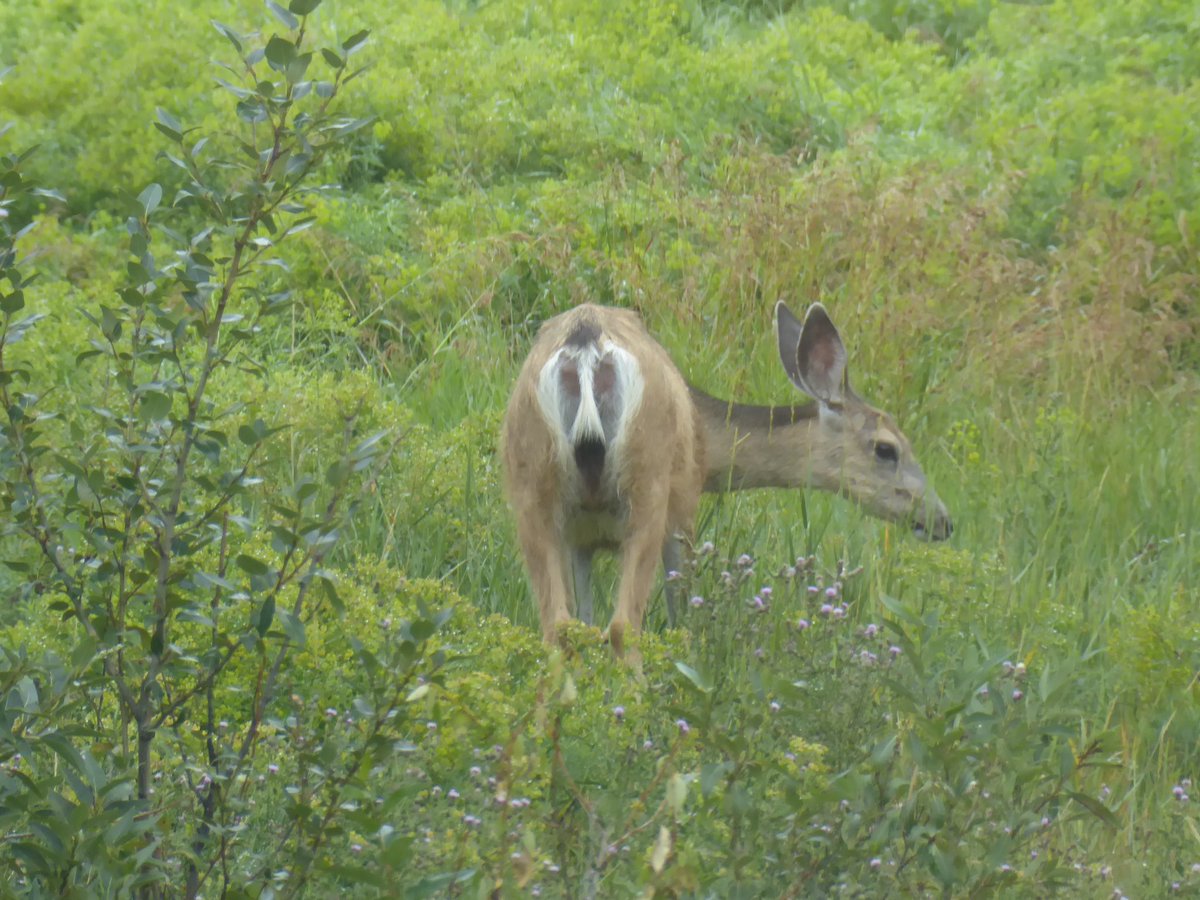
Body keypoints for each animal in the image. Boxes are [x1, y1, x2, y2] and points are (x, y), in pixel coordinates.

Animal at [500, 301, 952, 656]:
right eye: (887, 449)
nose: (942, 520)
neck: (707, 439)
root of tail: (586, 346)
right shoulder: (683, 510)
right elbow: (679, 616)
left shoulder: (582, 536)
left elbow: (584, 619)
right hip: (648, 484)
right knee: (624, 626)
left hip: (531, 484)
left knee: (557, 626)